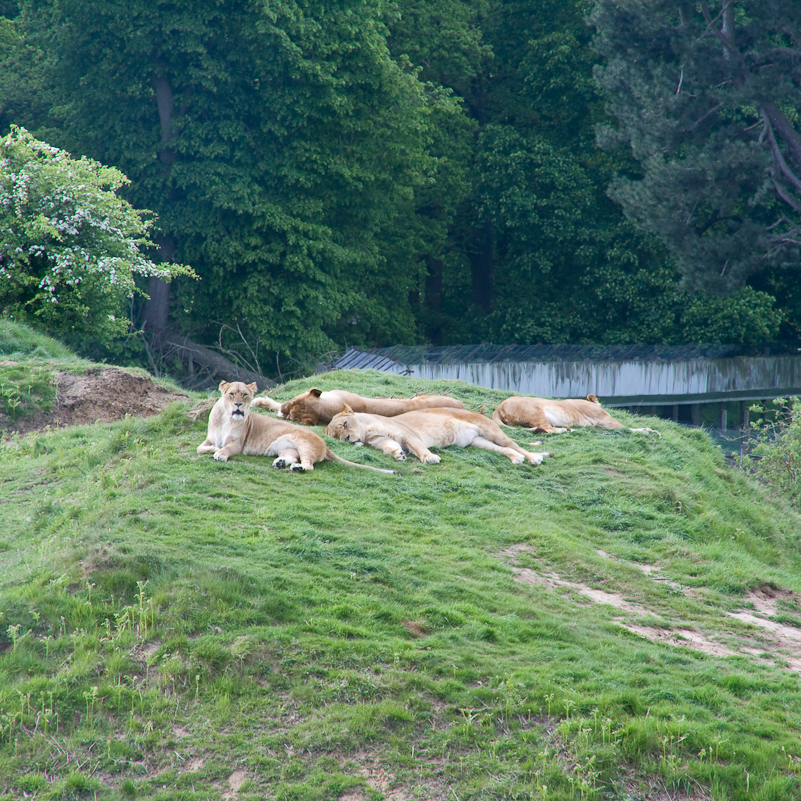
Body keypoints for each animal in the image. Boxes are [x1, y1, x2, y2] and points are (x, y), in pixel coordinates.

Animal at [197, 378, 396, 472]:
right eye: (231, 394)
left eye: (245, 395)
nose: (238, 404)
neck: (226, 419)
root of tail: (325, 444)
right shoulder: (208, 439)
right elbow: (201, 448)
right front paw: (215, 449)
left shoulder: (238, 444)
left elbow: (227, 448)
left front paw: (220, 453)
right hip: (285, 448)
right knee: (292, 457)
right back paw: (280, 463)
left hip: (305, 445)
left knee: (308, 464)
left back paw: (298, 468)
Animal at [322, 404, 552, 466]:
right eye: (335, 436)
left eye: (345, 424)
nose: (347, 440)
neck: (368, 431)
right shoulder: (382, 441)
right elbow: (391, 447)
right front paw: (399, 455)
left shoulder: (408, 435)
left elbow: (419, 448)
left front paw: (430, 457)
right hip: (479, 442)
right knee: (504, 449)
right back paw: (516, 459)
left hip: (491, 430)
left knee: (515, 444)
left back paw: (533, 459)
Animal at [494, 390, 656, 434]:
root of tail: (498, 408)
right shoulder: (603, 420)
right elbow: (627, 428)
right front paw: (650, 431)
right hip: (535, 410)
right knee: (546, 429)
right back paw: (567, 430)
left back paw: (568, 429)